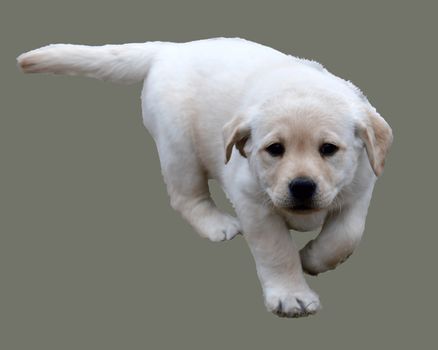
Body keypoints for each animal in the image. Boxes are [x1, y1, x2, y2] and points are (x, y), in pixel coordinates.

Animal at [17, 37, 394, 318]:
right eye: (274, 149)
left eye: (329, 149)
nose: (302, 187)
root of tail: (170, 49)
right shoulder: (252, 201)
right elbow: (276, 249)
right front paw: (291, 294)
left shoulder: (360, 185)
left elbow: (346, 236)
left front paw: (313, 259)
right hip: (179, 146)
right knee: (185, 195)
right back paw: (215, 224)